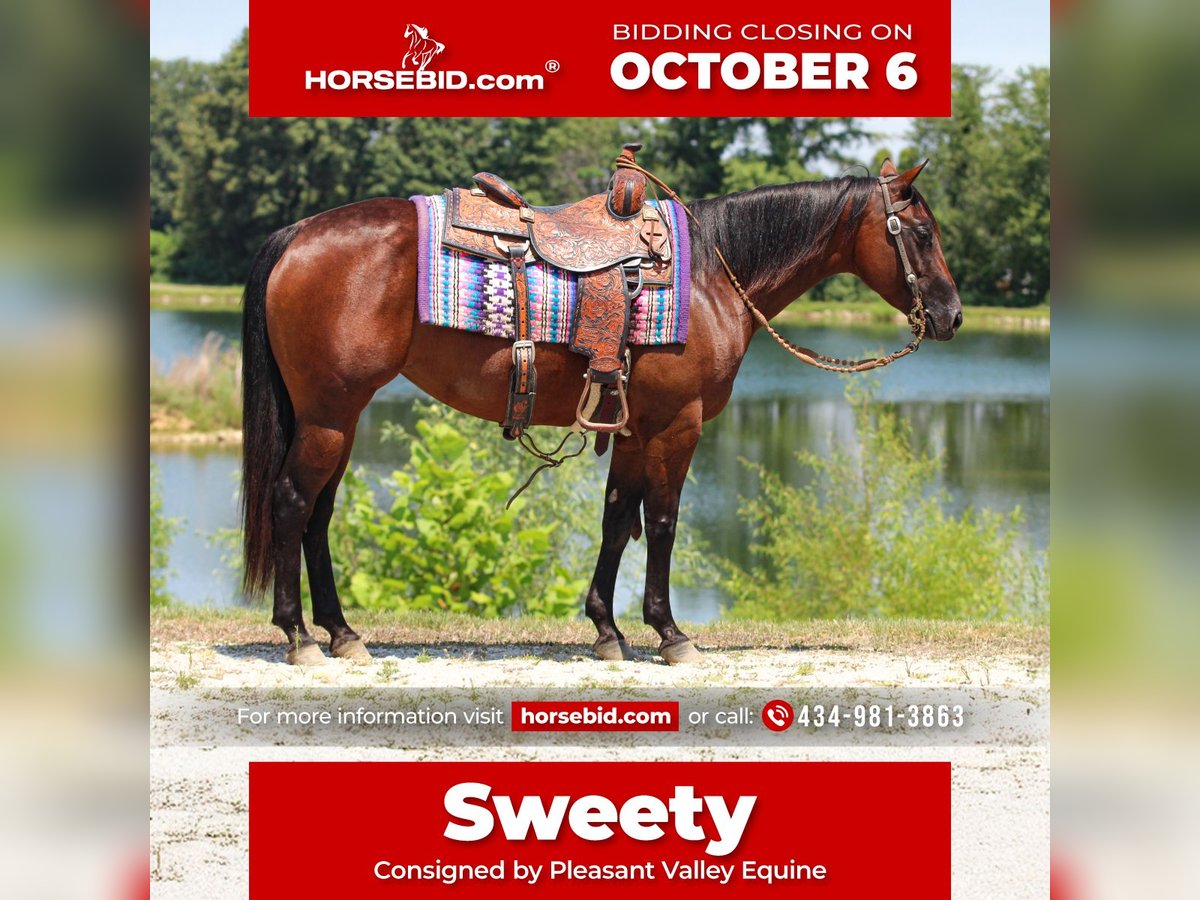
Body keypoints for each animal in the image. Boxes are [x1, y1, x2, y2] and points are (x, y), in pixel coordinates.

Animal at [240, 158, 962, 666]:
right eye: (921, 232)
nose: (953, 315)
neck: (711, 277)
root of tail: (299, 233)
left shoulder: (637, 430)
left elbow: (618, 521)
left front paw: (607, 629)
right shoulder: (677, 426)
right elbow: (664, 523)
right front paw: (669, 632)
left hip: (337, 416)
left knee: (318, 515)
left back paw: (342, 632)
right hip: (329, 415)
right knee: (292, 502)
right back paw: (300, 636)